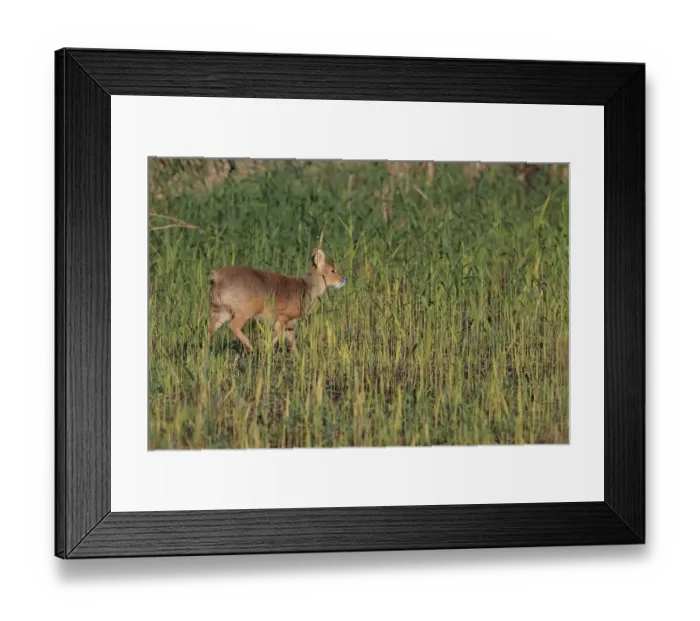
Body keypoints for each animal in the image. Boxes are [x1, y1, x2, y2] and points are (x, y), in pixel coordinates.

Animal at [205, 248, 346, 355]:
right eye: (333, 270)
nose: (344, 279)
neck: (306, 289)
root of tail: (216, 277)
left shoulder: (290, 323)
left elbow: (292, 342)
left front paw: (298, 358)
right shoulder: (282, 317)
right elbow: (276, 337)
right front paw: (264, 351)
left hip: (222, 310)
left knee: (211, 327)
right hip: (244, 310)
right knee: (233, 326)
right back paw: (251, 348)